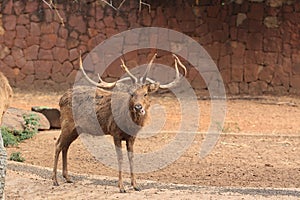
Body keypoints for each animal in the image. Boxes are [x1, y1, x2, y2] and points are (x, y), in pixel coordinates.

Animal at [52, 52, 186, 192]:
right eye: (132, 94)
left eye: (145, 94)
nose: (138, 107)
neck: (129, 124)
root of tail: (61, 98)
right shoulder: (115, 132)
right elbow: (120, 158)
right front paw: (121, 187)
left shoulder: (132, 137)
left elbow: (131, 157)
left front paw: (135, 185)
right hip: (67, 124)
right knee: (58, 145)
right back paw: (55, 180)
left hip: (75, 130)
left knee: (65, 146)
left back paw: (67, 177)